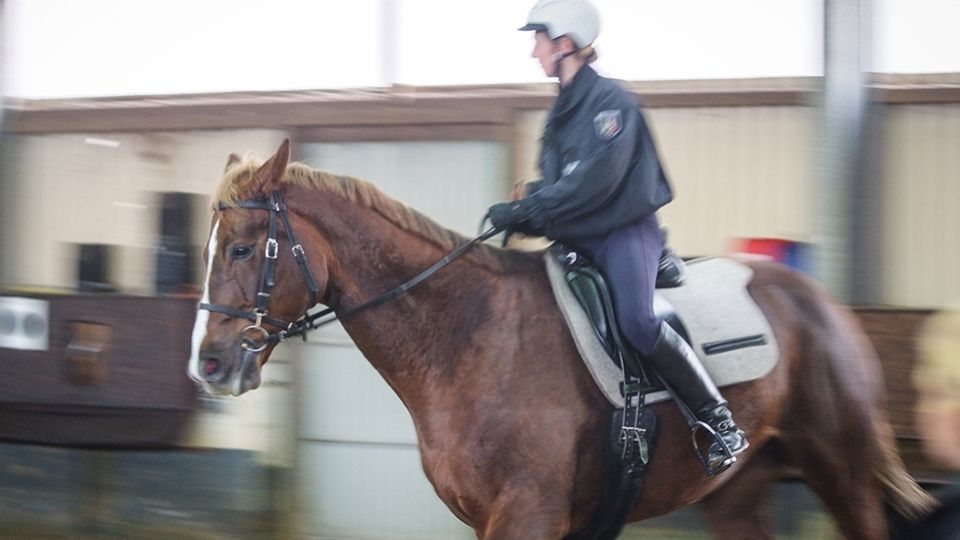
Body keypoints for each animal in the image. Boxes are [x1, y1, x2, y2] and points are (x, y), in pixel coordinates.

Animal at [189, 140, 936, 540]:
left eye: (245, 248)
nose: (209, 365)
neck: (467, 337)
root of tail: (827, 305)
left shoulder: (527, 515)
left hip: (840, 473)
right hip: (739, 490)